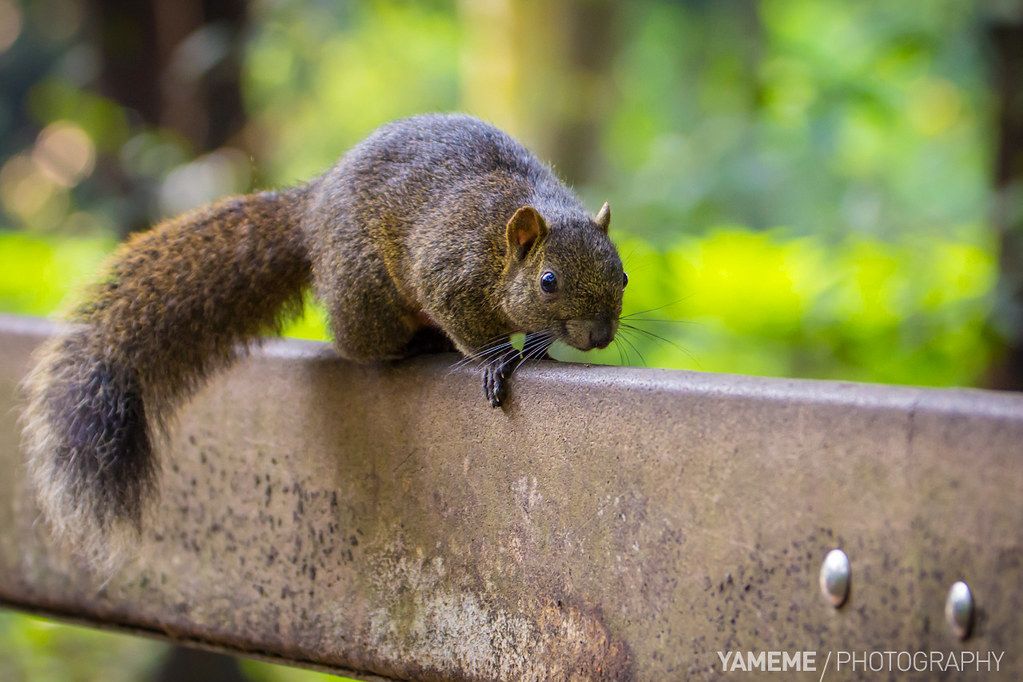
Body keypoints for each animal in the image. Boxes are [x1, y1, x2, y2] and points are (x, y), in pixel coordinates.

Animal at [19, 113, 626, 564]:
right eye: (548, 281)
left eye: (621, 276)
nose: (598, 336)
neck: (503, 244)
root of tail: (312, 207)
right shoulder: (448, 269)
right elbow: (467, 327)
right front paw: (497, 361)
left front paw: (540, 348)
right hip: (364, 295)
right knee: (361, 343)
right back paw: (413, 346)